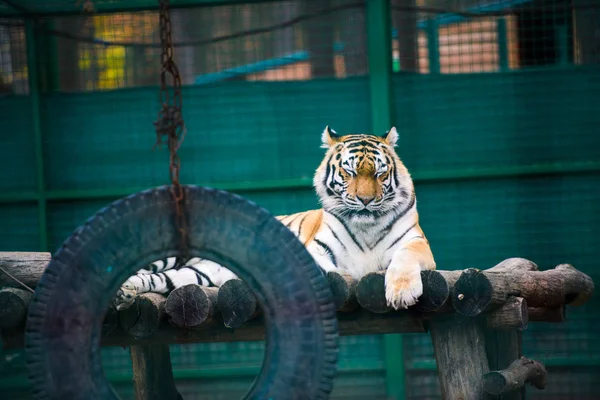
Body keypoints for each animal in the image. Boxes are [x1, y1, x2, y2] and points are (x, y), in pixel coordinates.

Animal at [113, 126, 436, 310]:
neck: (366, 226)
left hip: (196, 274)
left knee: (155, 278)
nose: (366, 200)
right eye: (350, 172)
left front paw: (402, 293)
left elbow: (403, 259)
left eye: (380, 173)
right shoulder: (316, 251)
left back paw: (125, 293)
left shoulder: (417, 243)